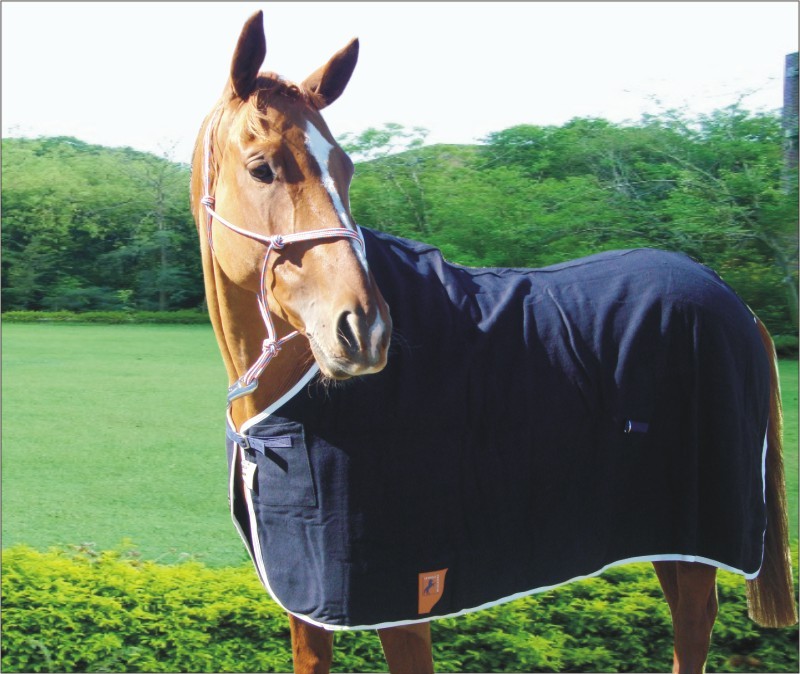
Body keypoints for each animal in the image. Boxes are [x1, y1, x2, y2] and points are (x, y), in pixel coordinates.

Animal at [191, 11, 796, 674]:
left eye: (346, 167)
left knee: (693, 623)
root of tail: (734, 301)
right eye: (262, 167)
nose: (363, 329)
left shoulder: (408, 597)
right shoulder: (306, 594)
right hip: (669, 532)